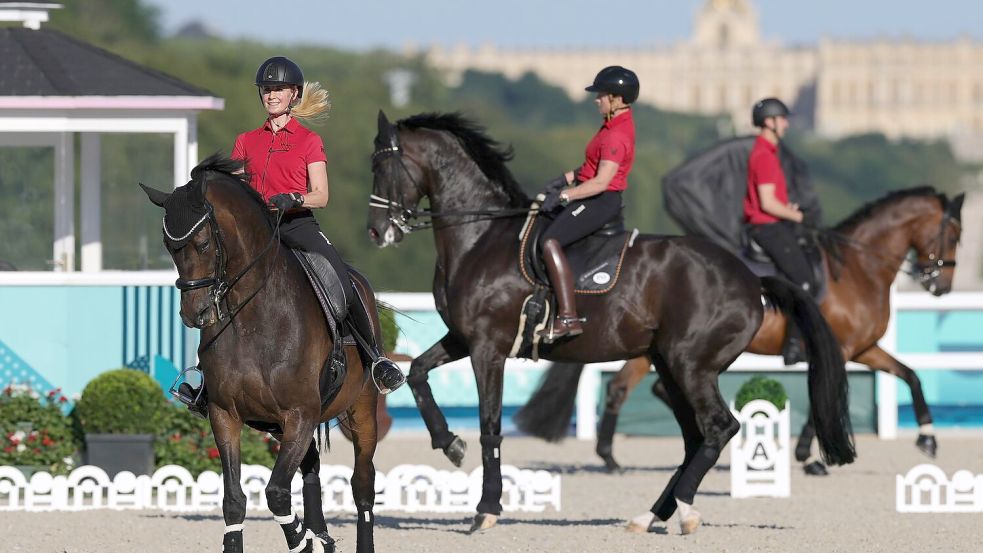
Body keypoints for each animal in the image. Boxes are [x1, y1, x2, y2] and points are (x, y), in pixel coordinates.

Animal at [142, 155, 380, 552]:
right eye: (168, 245)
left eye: (203, 243)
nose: (194, 313)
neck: (253, 317)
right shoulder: (225, 414)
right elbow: (235, 500)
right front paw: (307, 537)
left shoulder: (299, 414)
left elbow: (276, 494)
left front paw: (301, 539)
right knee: (311, 470)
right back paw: (321, 535)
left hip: (361, 411)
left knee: (362, 487)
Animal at [366, 111, 856, 536]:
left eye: (383, 164)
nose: (376, 232)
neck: (480, 238)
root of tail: (751, 278)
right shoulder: (463, 338)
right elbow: (417, 372)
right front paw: (449, 442)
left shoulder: (488, 347)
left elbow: (490, 426)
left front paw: (485, 510)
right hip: (669, 365)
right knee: (695, 437)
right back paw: (652, 514)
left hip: (691, 365)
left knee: (719, 428)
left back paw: (684, 509)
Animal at [520, 185, 964, 470]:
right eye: (956, 234)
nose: (942, 286)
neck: (857, 269)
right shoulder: (843, 348)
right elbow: (824, 394)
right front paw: (810, 456)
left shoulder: (863, 348)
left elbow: (910, 375)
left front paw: (927, 438)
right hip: (660, 352)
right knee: (623, 389)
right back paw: (613, 457)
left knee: (647, 390)